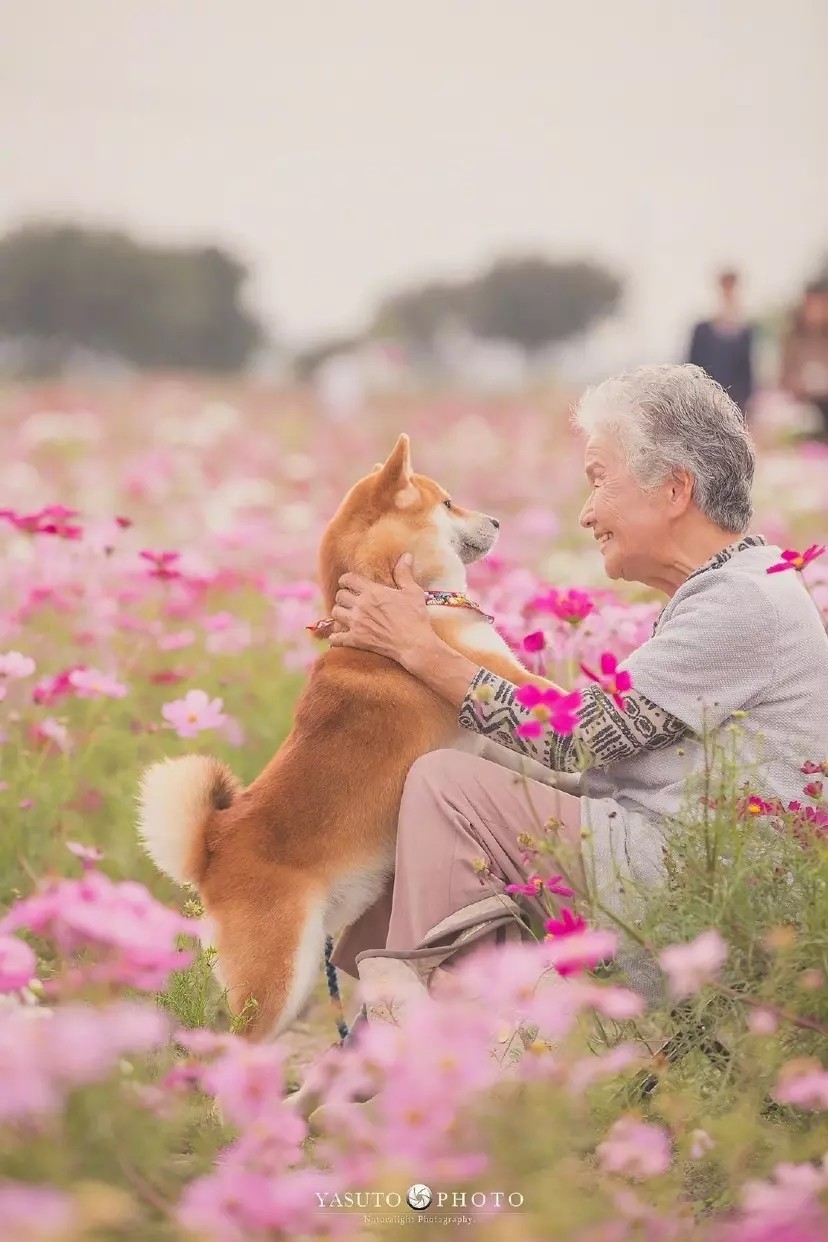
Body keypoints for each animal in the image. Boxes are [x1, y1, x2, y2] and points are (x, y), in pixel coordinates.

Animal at [135, 437, 551, 1038]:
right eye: (448, 503)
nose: (496, 520)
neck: (399, 591)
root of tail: (211, 847)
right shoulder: (494, 676)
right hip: (281, 978)